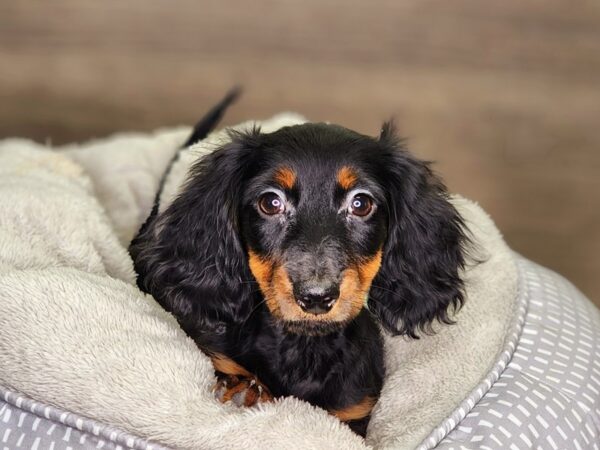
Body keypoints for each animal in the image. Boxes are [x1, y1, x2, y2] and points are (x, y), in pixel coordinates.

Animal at [130, 92, 468, 436]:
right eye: (270, 202)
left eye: (361, 203)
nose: (316, 297)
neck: (303, 345)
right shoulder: (217, 354)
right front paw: (246, 389)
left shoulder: (352, 414)